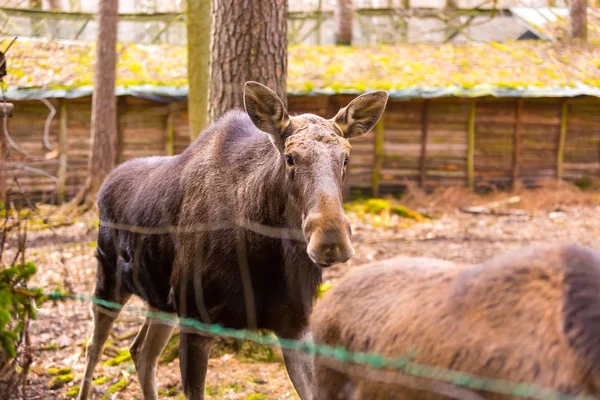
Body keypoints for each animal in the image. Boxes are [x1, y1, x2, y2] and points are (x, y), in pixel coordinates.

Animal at [76, 82, 390, 400]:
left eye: (345, 158)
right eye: (290, 157)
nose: (331, 240)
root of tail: (104, 185)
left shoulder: (295, 322)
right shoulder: (197, 316)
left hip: (161, 299)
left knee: (141, 352)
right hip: (110, 278)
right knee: (94, 346)